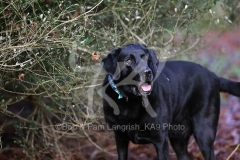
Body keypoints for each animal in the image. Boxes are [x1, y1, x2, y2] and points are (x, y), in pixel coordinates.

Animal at [101, 43, 240, 159]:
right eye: (128, 61)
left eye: (147, 59)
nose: (148, 72)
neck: (130, 101)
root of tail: (214, 76)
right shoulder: (120, 138)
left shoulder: (160, 141)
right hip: (178, 139)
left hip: (204, 132)